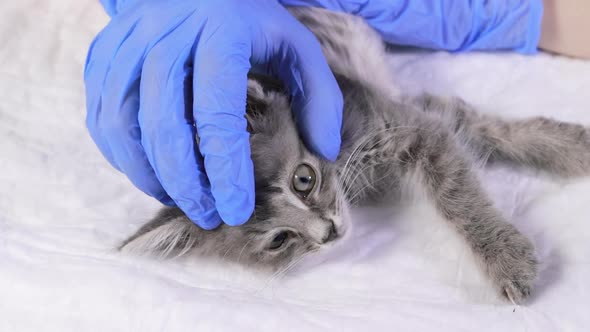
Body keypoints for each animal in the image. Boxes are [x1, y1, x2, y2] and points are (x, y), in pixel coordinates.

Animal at [121, 7, 590, 304]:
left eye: (303, 180)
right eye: (279, 240)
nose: (327, 233)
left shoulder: (403, 122)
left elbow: (462, 186)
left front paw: (506, 256)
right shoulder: (415, 115)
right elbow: (470, 128)